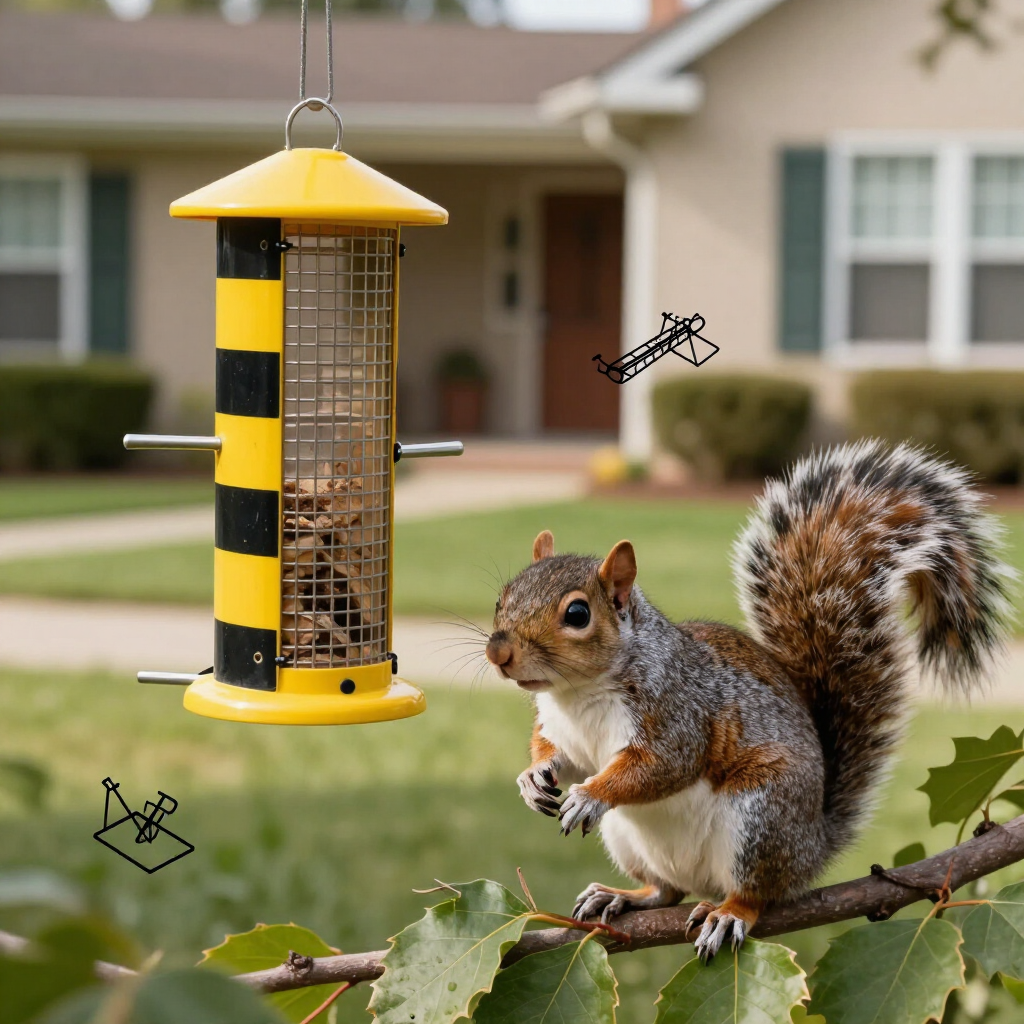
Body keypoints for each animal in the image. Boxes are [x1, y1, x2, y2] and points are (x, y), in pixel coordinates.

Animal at [484, 440, 1014, 962]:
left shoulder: (677, 713)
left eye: (577, 614)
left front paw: (590, 795)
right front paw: (532, 777)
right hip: (632, 840)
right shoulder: (563, 731)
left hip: (760, 820)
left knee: (757, 893)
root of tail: (813, 846)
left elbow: (660, 767)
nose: (498, 652)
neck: (577, 694)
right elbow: (562, 756)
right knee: (666, 891)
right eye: (501, 598)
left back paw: (729, 913)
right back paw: (622, 896)